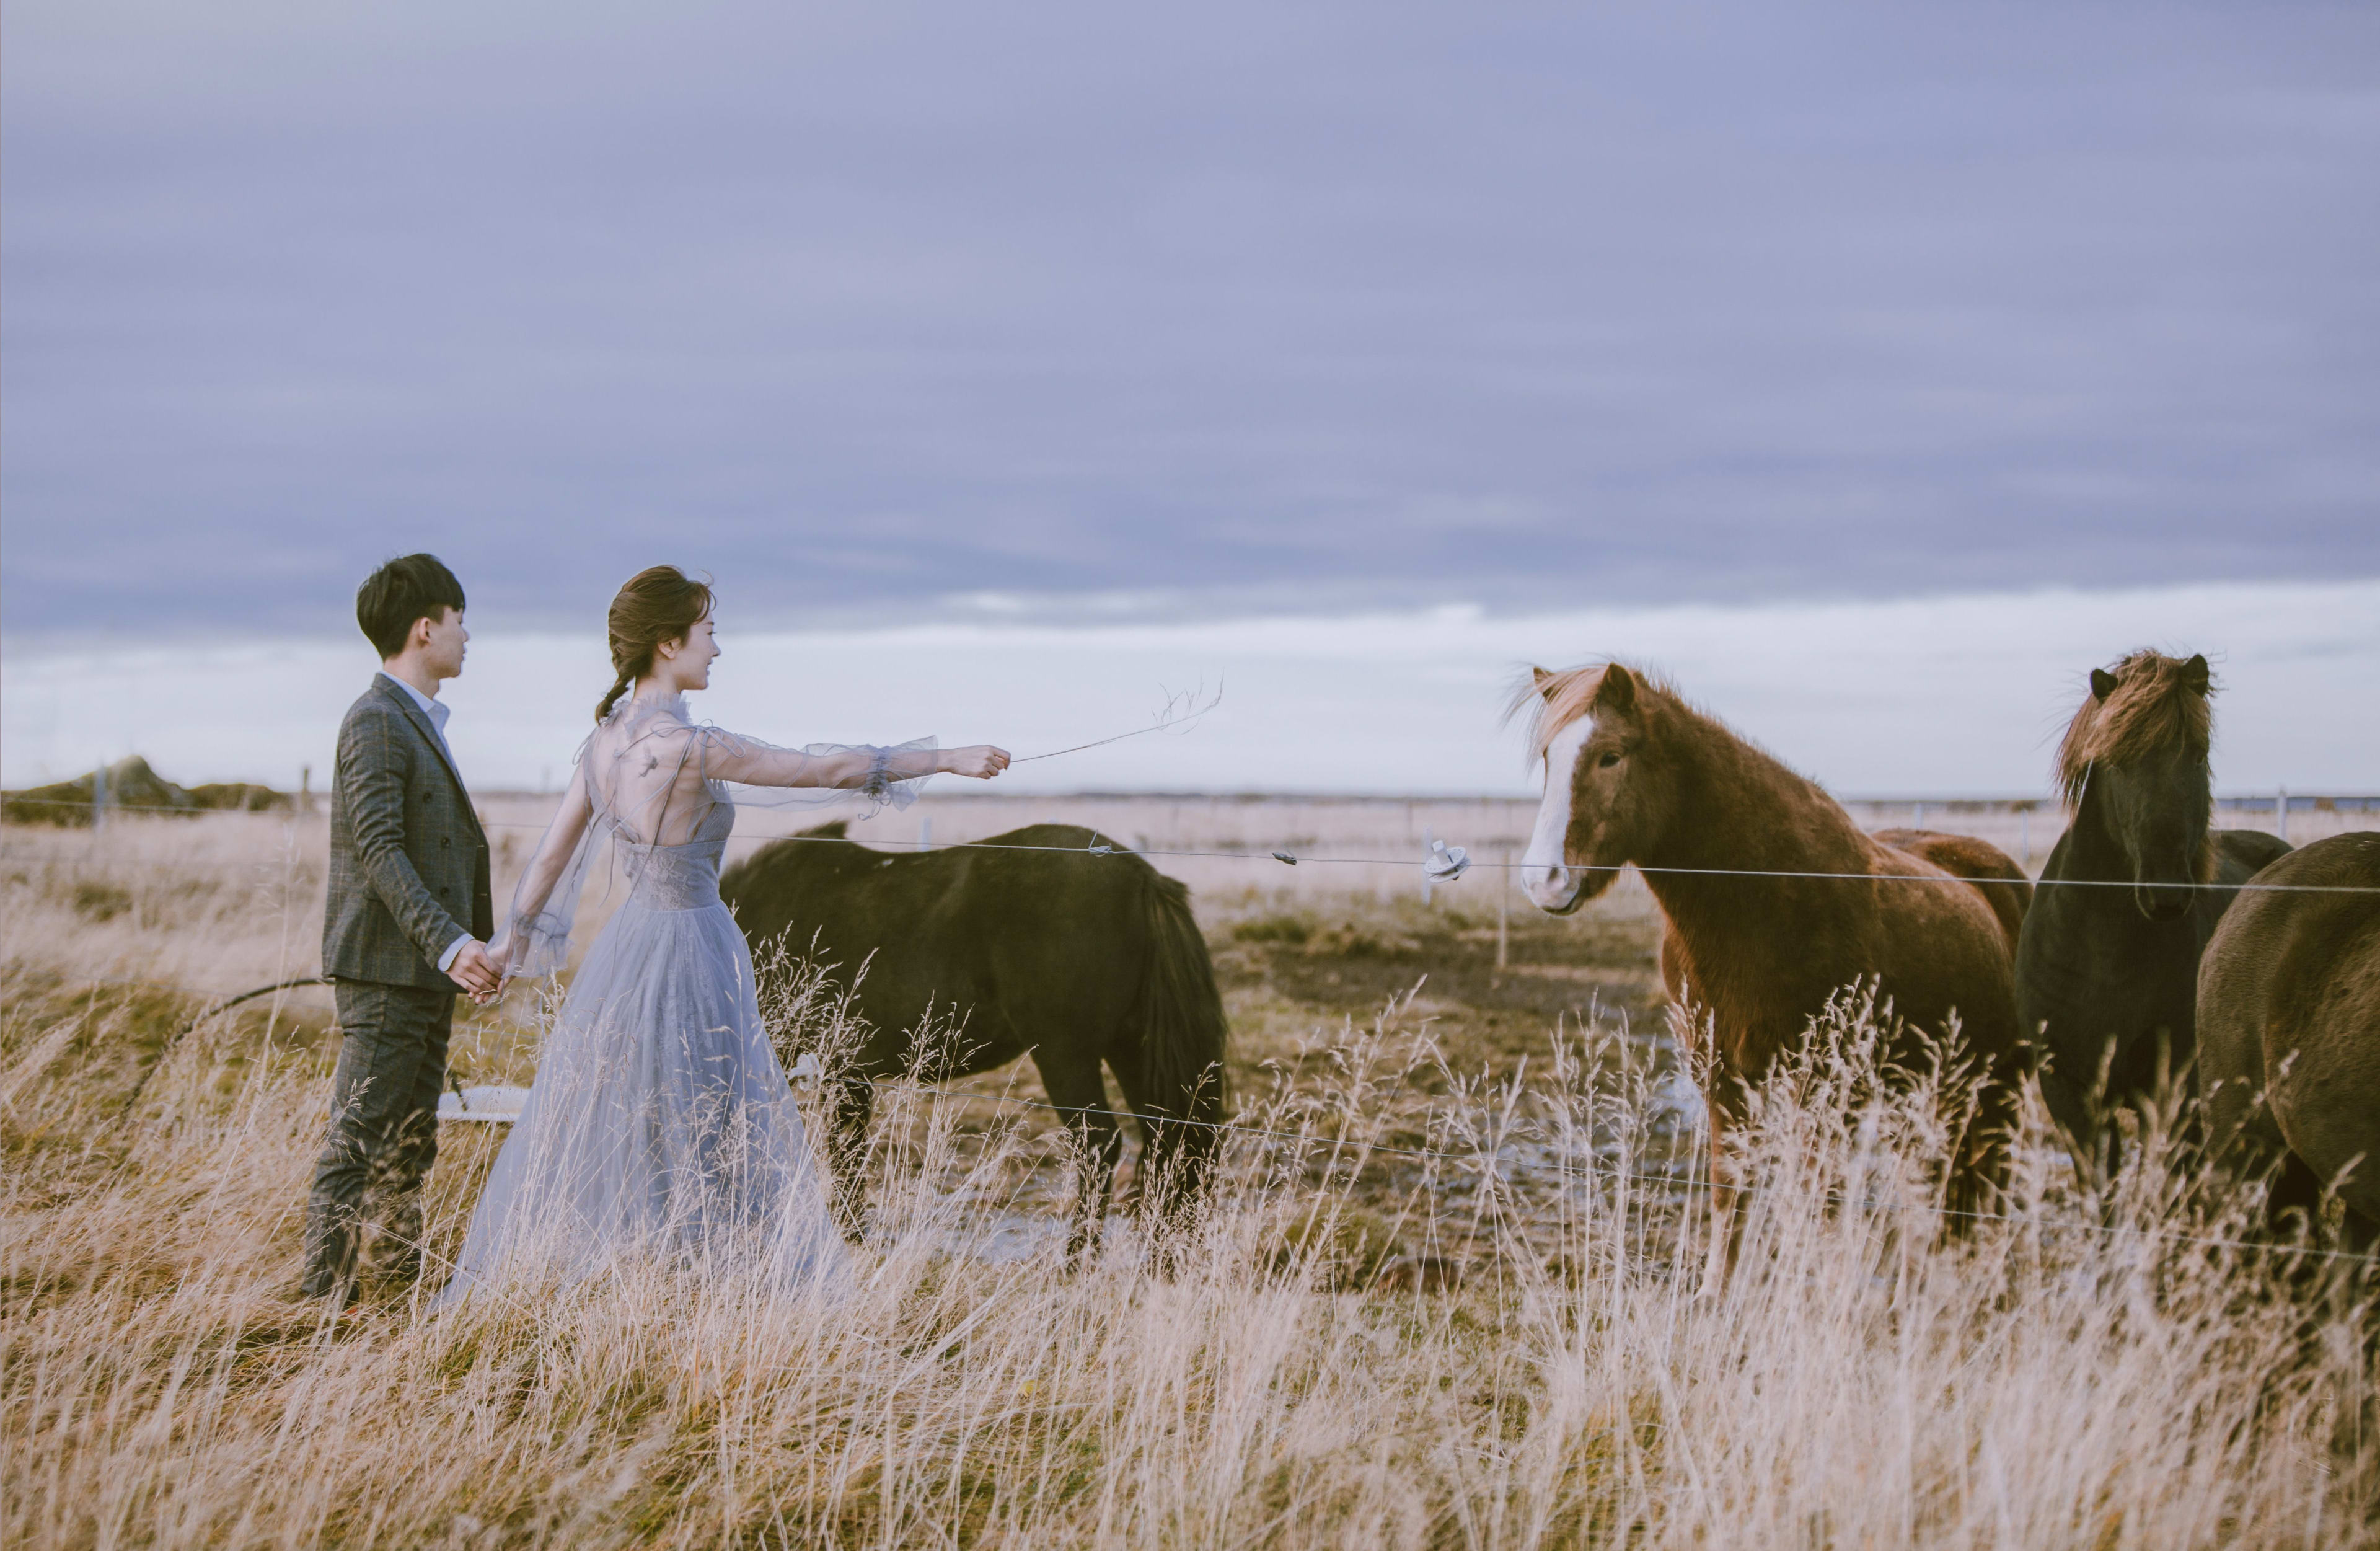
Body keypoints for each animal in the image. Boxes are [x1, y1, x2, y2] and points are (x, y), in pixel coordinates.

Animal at [714, 818, 1228, 1256]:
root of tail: (1141, 875)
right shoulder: (850, 1075)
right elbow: (847, 1155)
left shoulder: (837, 1070)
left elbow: (838, 1156)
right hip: (1132, 1050)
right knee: (1169, 1143)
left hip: (1067, 1056)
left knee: (1099, 1147)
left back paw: (1076, 1259)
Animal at [1514, 661, 2037, 1294]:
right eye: (1549, 758)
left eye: (1610, 756)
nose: (1543, 881)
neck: (1764, 901)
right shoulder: (1722, 1081)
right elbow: (1730, 1193)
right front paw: (1716, 1292)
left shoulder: (1823, 1092)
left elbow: (1821, 1210)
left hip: (1999, 1091)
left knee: (1989, 1187)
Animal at [2018, 647, 2294, 1180]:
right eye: (2116, 761)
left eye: (2199, 754)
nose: (2165, 893)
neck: (2105, 953)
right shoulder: (2071, 1094)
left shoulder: (2174, 1096)